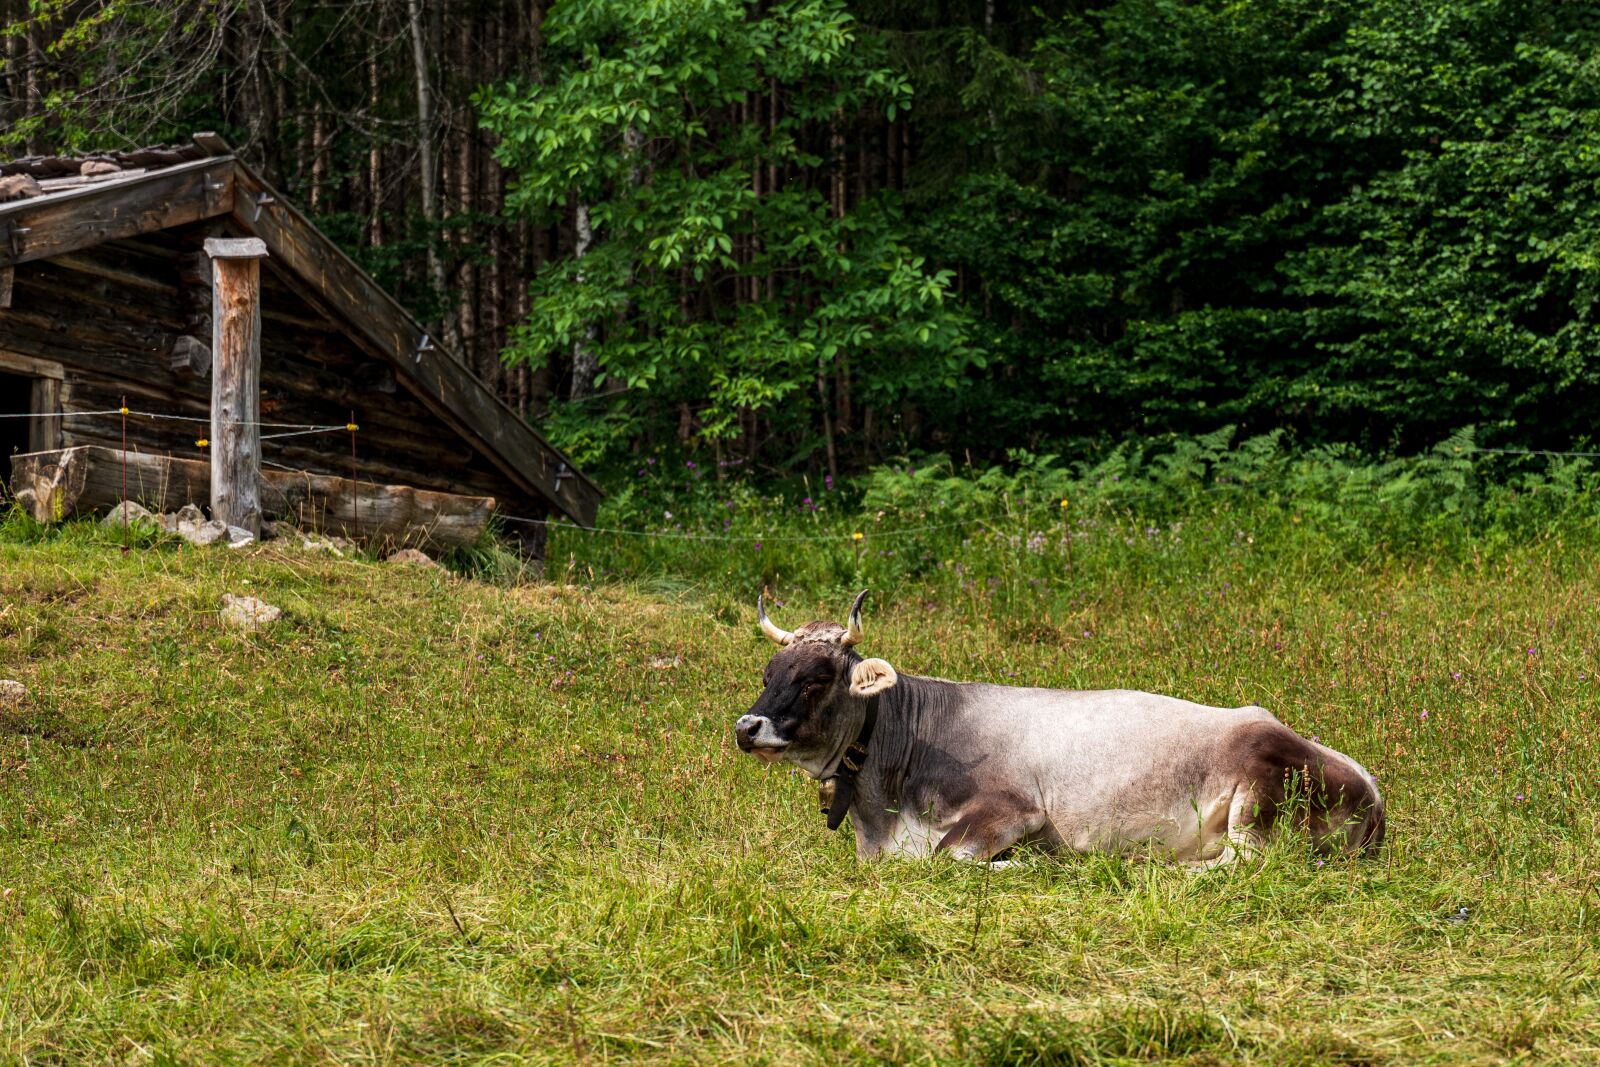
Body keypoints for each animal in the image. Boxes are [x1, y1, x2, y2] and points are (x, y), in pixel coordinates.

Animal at [732, 591, 1382, 870]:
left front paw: (1028, 866)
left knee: (1244, 864)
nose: (746, 726)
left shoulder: (1014, 810)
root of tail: (1373, 790)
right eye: (769, 672)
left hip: (1259, 799)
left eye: (817, 678)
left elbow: (947, 858)